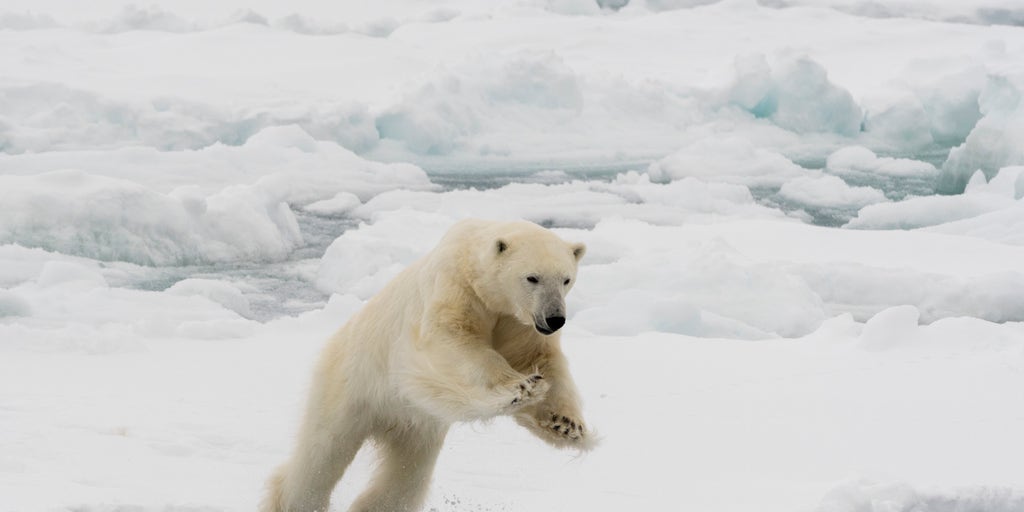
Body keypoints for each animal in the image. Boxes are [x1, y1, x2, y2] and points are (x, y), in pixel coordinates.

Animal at [262, 219, 593, 512]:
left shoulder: (517, 322)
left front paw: (566, 424)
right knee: (323, 452)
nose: (555, 318)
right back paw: (294, 501)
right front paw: (521, 387)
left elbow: (539, 358)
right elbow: (451, 342)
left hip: (416, 425)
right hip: (350, 382)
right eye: (532, 277)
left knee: (406, 475)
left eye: (566, 279)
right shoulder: (454, 288)